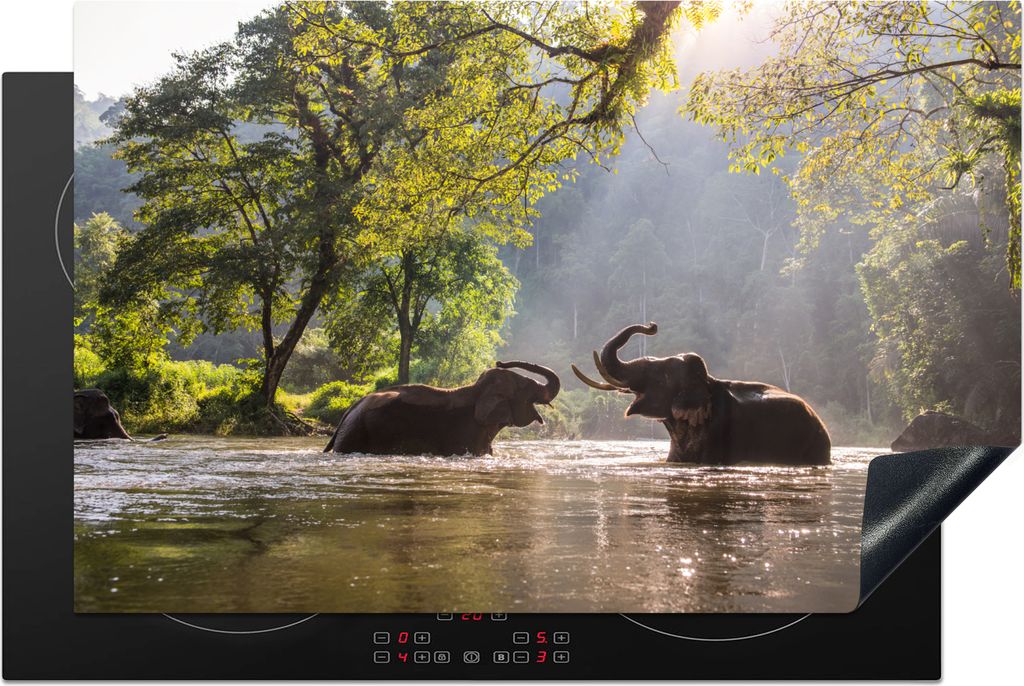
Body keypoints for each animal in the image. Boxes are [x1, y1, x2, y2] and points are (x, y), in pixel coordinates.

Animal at [323, 361, 561, 456]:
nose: (500, 362)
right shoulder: (465, 434)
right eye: (526, 387)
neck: (476, 389)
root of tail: (348, 412)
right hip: (355, 435)